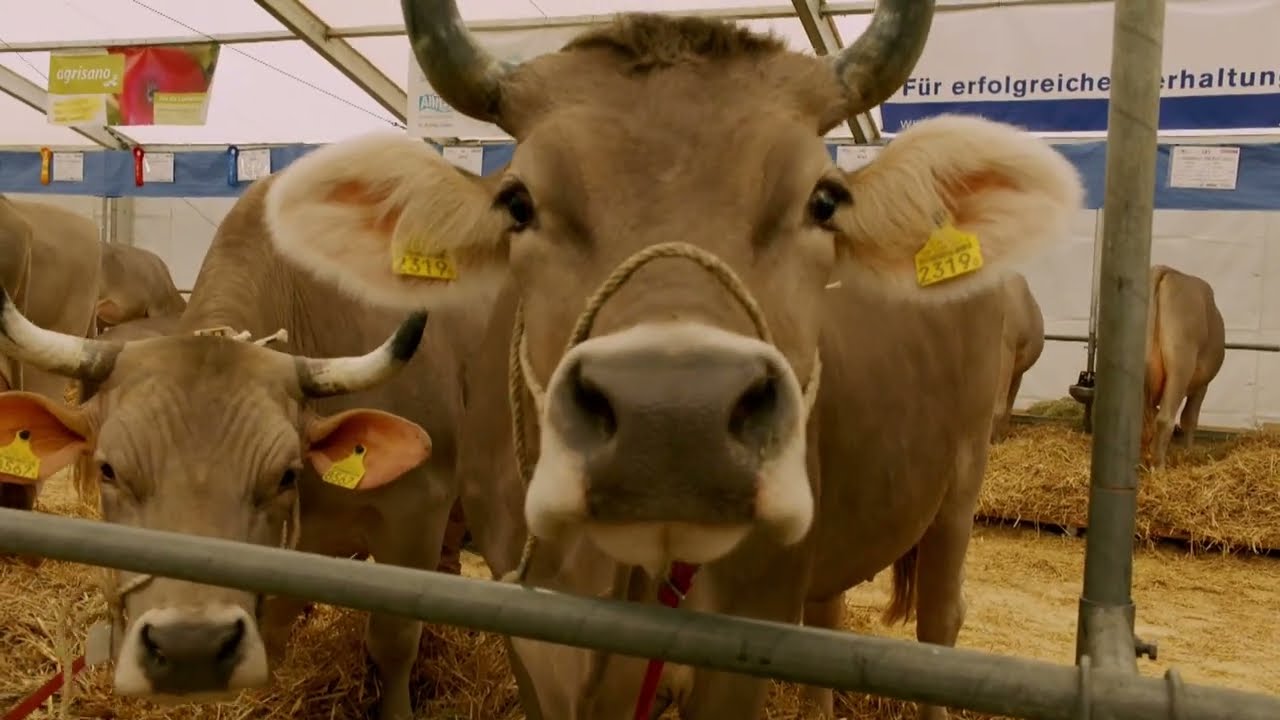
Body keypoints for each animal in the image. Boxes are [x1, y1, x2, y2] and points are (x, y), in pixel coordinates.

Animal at [1141, 264, 1225, 469]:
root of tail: (1164, 271)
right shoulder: (1202, 385)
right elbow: (1190, 418)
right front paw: (1188, 452)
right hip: (1180, 368)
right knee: (1164, 418)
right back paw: (1159, 467)